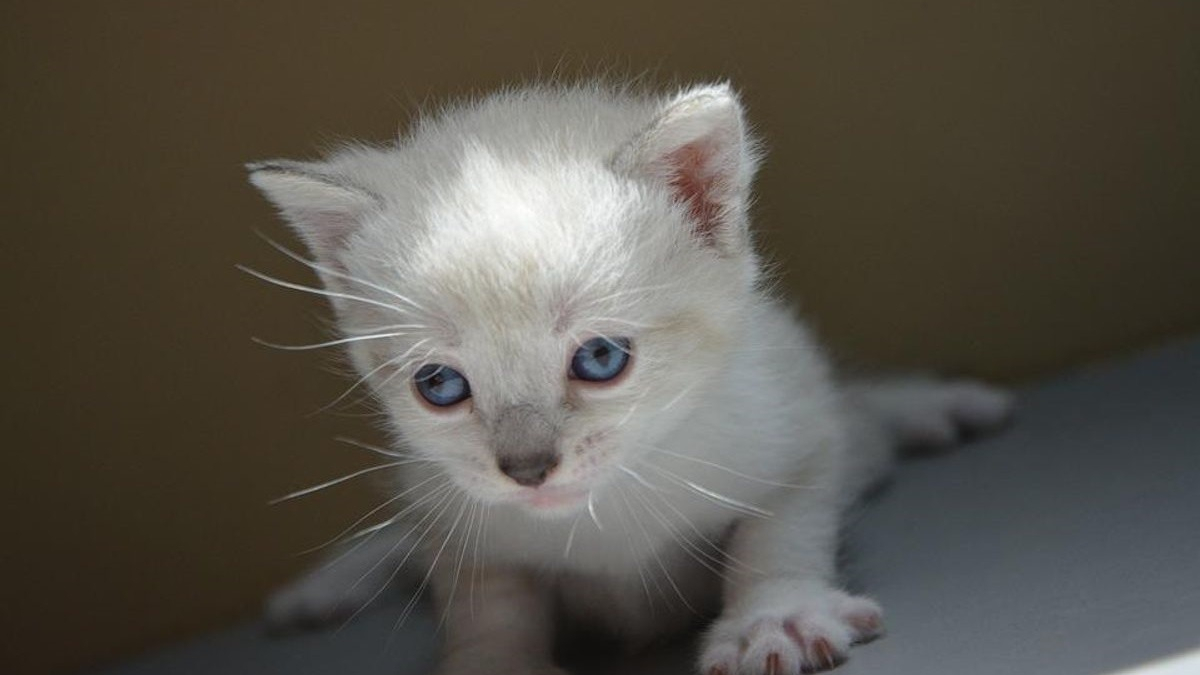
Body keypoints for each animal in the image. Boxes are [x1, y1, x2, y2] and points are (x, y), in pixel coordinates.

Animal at [250, 81, 1012, 667]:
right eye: (439, 385)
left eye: (600, 359)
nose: (526, 469)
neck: (605, 510)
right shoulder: (450, 506)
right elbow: (487, 596)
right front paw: (494, 659)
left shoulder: (794, 418)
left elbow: (777, 530)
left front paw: (775, 616)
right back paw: (325, 585)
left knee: (864, 419)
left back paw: (939, 404)